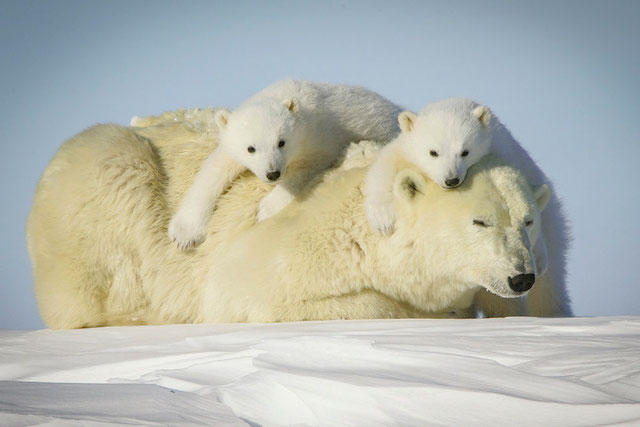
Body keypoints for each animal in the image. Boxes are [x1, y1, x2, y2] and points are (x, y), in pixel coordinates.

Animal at [26, 116, 556, 328]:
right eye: (480, 221)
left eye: (528, 221)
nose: (522, 277)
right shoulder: (290, 244)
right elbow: (250, 293)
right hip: (105, 181)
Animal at [169, 79, 400, 251]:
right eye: (250, 148)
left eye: (281, 142)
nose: (272, 173)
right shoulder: (231, 145)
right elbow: (214, 170)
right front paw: (184, 234)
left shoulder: (319, 137)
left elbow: (304, 170)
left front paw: (264, 210)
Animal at [362, 98, 572, 318]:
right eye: (433, 152)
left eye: (464, 152)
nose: (451, 180)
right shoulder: (403, 150)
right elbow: (383, 170)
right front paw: (383, 220)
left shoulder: (500, 152)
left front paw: (537, 256)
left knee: (550, 281)